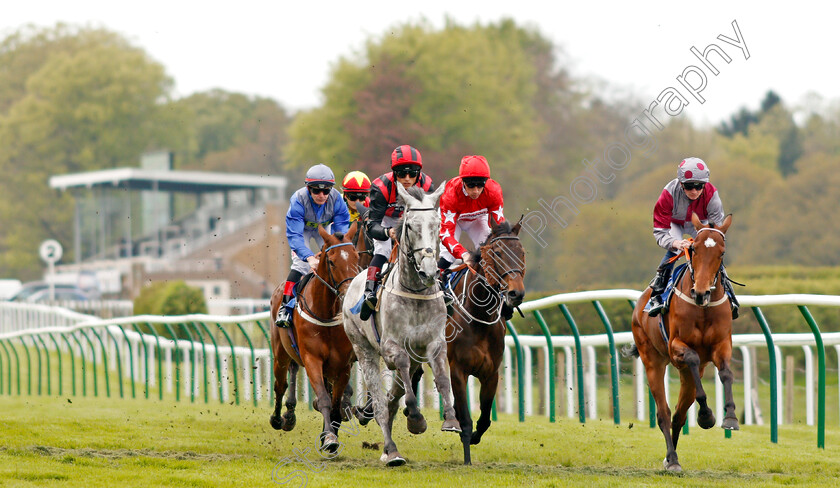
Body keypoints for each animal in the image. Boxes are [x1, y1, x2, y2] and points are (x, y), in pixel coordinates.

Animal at [270, 221, 360, 450]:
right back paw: (279, 419)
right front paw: (329, 438)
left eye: (356, 257)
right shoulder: (312, 359)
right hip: (280, 354)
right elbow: (324, 399)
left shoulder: (343, 364)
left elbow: (335, 403)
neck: (325, 313)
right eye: (331, 261)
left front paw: (330, 434)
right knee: (280, 385)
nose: (349, 294)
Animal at [342, 180, 460, 466]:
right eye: (410, 226)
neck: (416, 292)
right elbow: (406, 378)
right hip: (363, 348)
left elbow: (442, 378)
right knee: (381, 404)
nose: (429, 271)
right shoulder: (392, 348)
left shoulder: (434, 343)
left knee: (391, 399)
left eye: (437, 225)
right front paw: (416, 418)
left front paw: (451, 420)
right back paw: (391, 450)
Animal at [412, 218, 524, 466]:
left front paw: (474, 437)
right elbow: (465, 419)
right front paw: (466, 459)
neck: (479, 317)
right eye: (498, 253)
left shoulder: (491, 373)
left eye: (522, 252)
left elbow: (484, 419)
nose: (516, 294)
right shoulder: (458, 370)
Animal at [628, 214, 740, 472]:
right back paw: (673, 458)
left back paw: (671, 459)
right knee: (664, 414)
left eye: (721, 252)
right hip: (653, 361)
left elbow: (726, 373)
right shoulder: (676, 347)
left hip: (687, 375)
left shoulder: (722, 345)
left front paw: (729, 417)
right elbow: (691, 356)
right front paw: (707, 416)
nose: (700, 292)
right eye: (694, 249)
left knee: (678, 415)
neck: (703, 308)